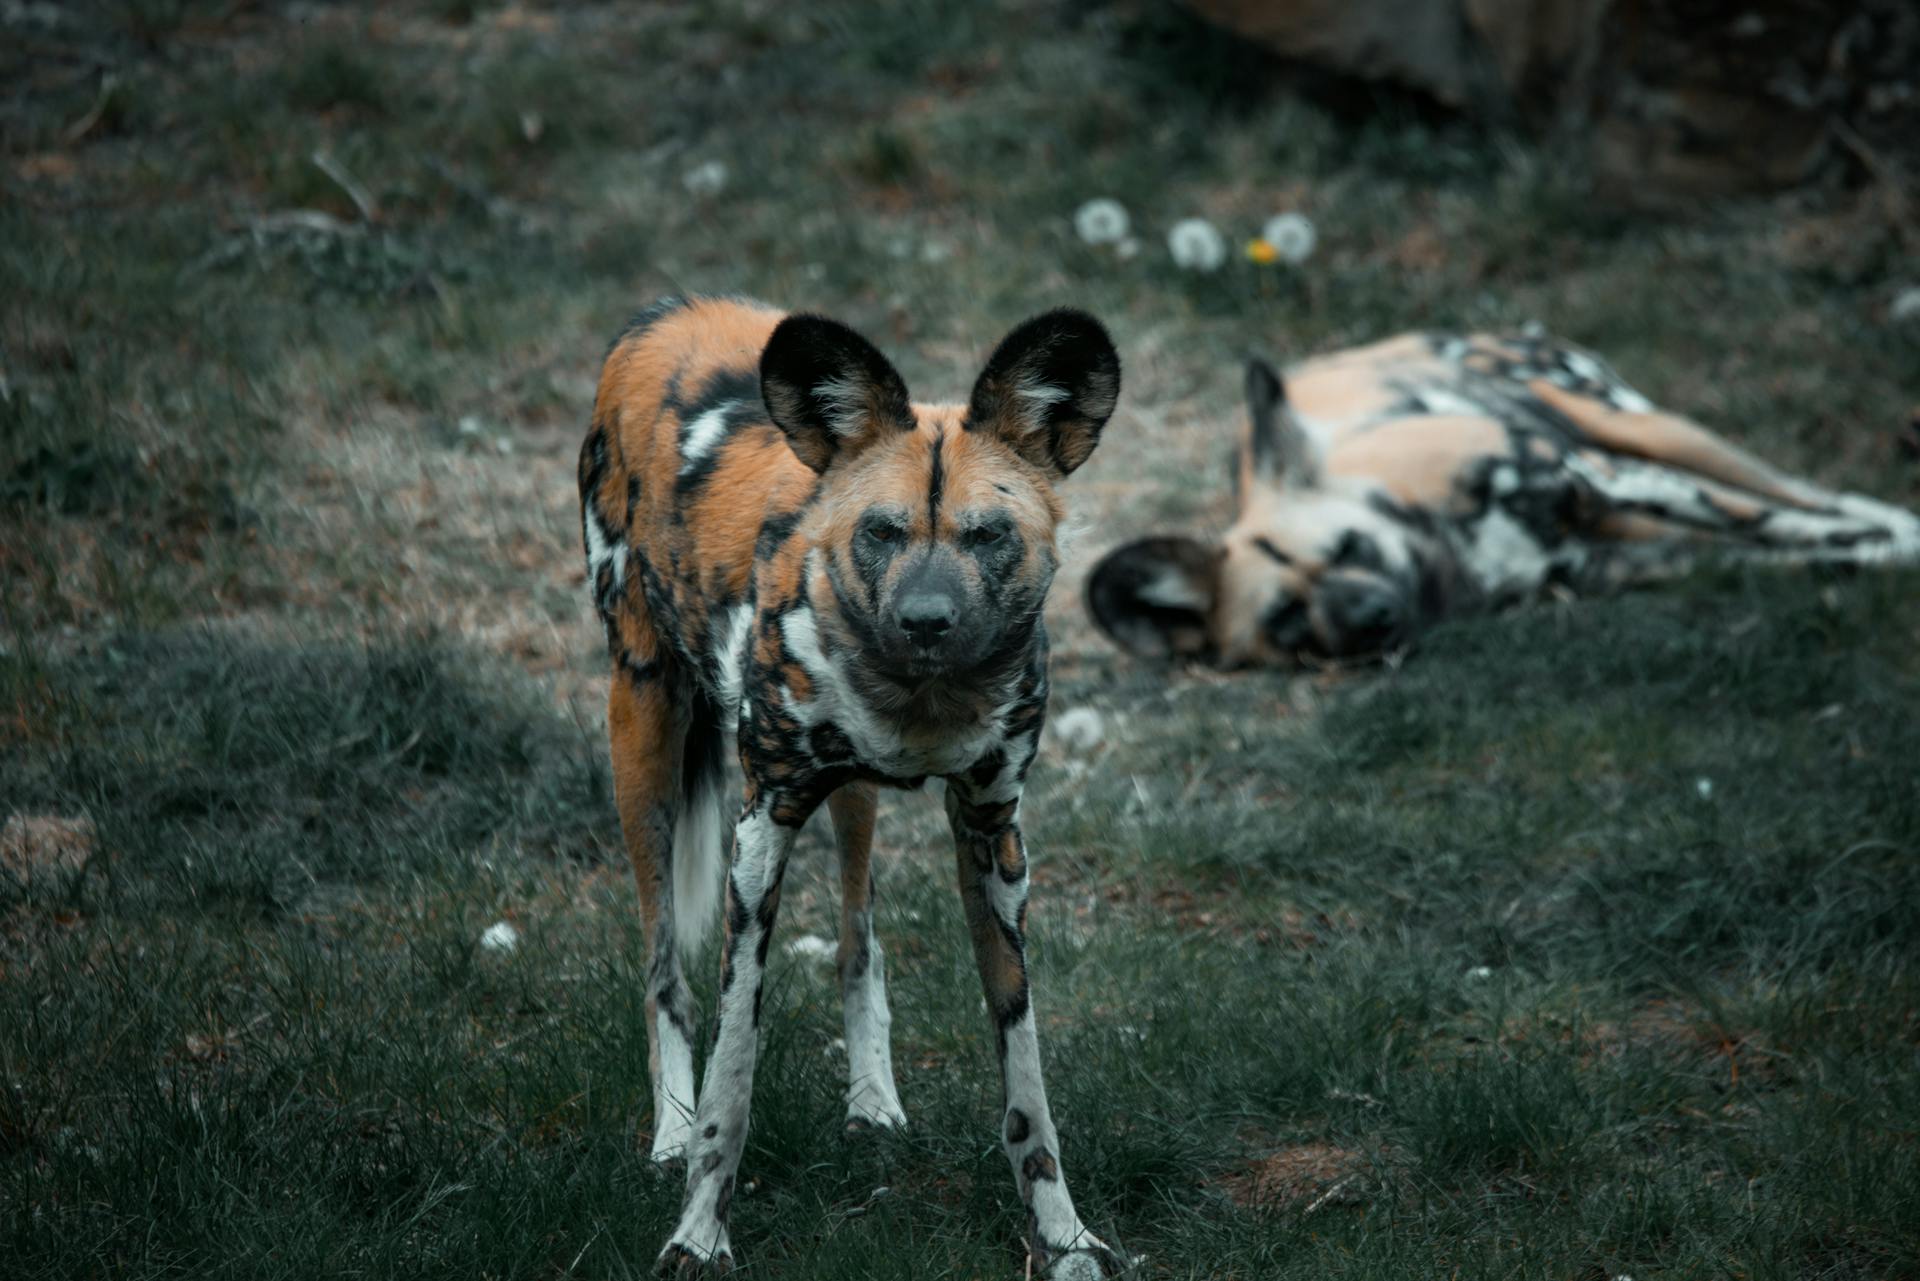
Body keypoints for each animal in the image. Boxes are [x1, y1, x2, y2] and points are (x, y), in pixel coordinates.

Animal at [579, 297, 1121, 1275]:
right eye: (882, 531)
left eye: (987, 535)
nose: (925, 620)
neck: (921, 700)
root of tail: (666, 311)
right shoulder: (761, 832)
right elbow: (733, 1075)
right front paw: (697, 1231)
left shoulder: (992, 834)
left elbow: (1027, 1082)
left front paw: (1063, 1235)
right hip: (639, 726)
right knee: (663, 972)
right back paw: (669, 1131)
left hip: (852, 797)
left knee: (857, 936)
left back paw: (872, 1097)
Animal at [1090, 328, 1920, 672]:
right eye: (1287, 619)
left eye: (1352, 546)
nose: (1374, 616)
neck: (1455, 563)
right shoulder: (1621, 559)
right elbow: (1817, 552)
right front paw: (1871, 556)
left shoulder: (1595, 480)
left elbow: (1806, 525)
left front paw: (1897, 543)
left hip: (1643, 434)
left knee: (1797, 492)